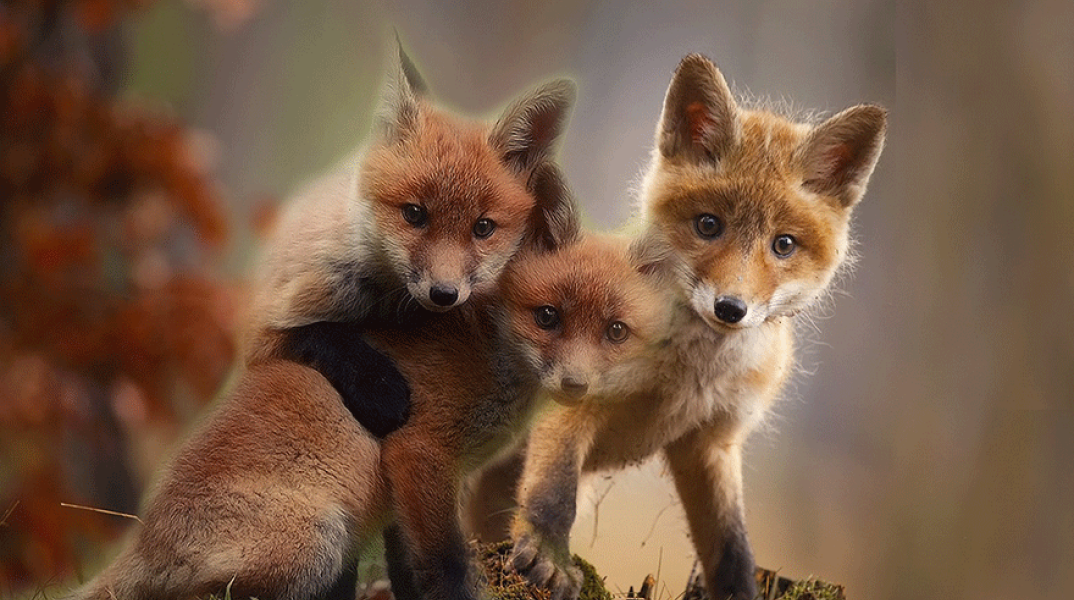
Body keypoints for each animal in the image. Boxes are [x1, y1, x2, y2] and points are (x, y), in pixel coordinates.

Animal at [64, 45, 581, 600]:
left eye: (483, 228)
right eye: (414, 215)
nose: (444, 295)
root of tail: (144, 539)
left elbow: (411, 559)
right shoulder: (416, 449)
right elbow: (442, 561)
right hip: (318, 542)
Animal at [499, 54, 887, 600]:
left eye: (783, 245)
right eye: (708, 225)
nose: (731, 308)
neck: (689, 375)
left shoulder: (712, 442)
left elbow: (731, 546)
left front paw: (740, 591)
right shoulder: (574, 389)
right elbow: (554, 491)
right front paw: (548, 556)